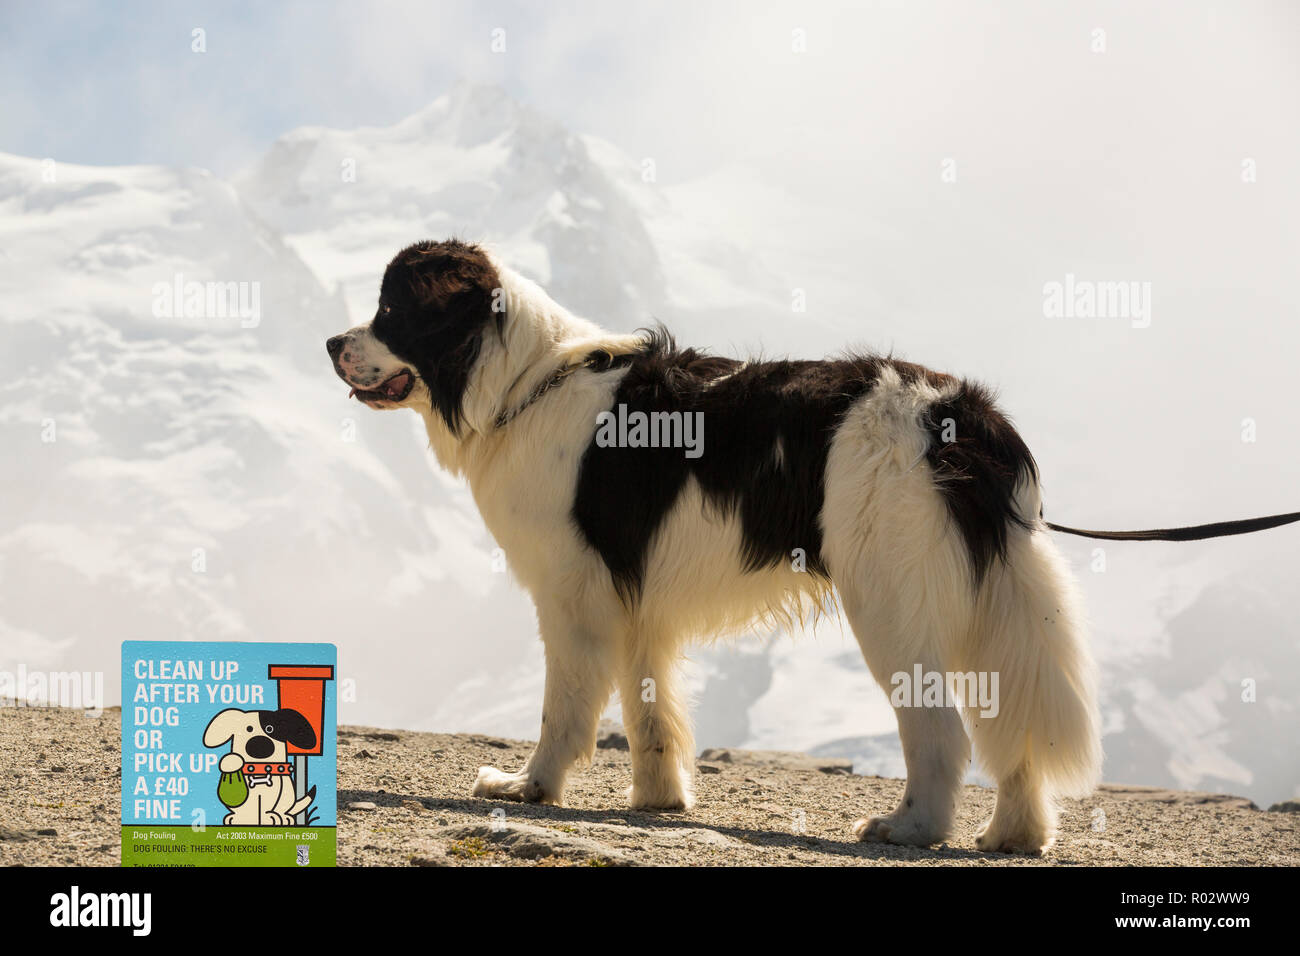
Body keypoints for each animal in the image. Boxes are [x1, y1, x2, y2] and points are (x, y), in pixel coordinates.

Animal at [325, 239, 1097, 853]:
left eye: (390, 311)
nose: (331, 344)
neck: (526, 382)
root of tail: (957, 412)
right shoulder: (634, 602)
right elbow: (650, 711)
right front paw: (658, 800)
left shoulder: (571, 594)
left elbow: (564, 708)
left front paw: (528, 787)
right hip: (992, 605)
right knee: (1010, 727)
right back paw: (1014, 834)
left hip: (890, 601)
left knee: (941, 730)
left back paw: (909, 828)